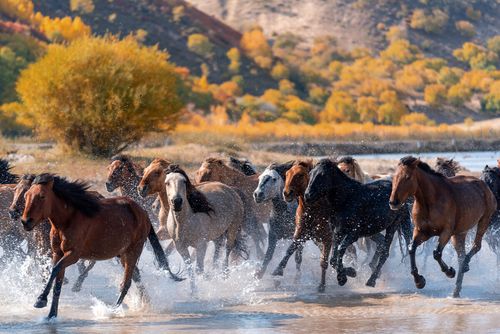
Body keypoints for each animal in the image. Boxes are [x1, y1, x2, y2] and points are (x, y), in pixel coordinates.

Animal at [21, 174, 183, 318]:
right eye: (26, 195)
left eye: (42, 196)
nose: (25, 221)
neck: (68, 220)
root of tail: (143, 213)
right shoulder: (57, 253)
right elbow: (57, 284)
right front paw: (51, 315)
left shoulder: (73, 255)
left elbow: (54, 270)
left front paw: (40, 300)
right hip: (122, 254)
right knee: (136, 276)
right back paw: (145, 304)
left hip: (133, 251)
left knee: (127, 282)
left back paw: (112, 309)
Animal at [274, 160, 332, 290]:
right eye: (287, 174)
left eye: (300, 175)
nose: (286, 193)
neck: (313, 211)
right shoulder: (301, 233)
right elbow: (291, 249)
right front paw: (278, 269)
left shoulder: (328, 237)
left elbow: (324, 260)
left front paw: (322, 285)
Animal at [304, 159, 410, 288]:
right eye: (310, 174)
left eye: (322, 175)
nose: (307, 195)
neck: (346, 199)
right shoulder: (337, 233)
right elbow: (333, 258)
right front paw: (349, 273)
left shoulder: (353, 234)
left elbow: (340, 250)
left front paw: (342, 277)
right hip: (373, 230)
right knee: (380, 245)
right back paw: (372, 268)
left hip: (393, 226)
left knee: (385, 252)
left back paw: (372, 280)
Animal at [390, 157, 496, 298]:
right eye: (394, 177)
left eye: (407, 177)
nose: (393, 202)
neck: (430, 201)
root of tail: (484, 185)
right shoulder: (421, 231)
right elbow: (412, 248)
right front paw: (419, 281)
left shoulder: (446, 231)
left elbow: (436, 253)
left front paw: (449, 271)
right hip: (460, 233)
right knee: (461, 255)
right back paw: (456, 290)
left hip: (484, 220)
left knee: (475, 247)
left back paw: (465, 266)